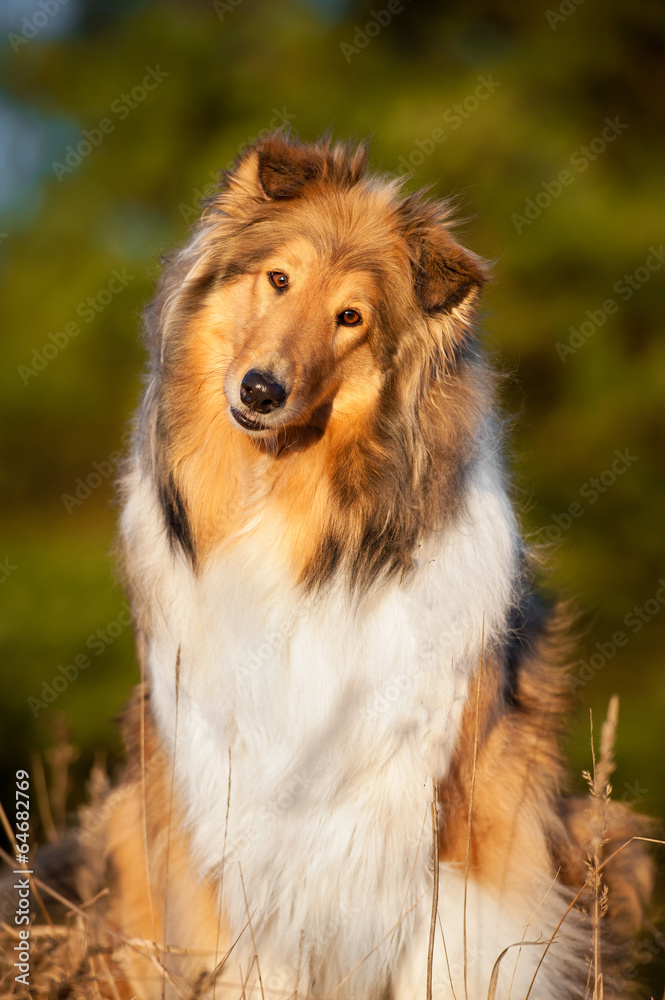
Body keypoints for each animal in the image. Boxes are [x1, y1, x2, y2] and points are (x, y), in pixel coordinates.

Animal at [91, 135, 652, 1000]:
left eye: (350, 318)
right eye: (277, 278)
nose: (261, 389)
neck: (292, 520)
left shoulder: (444, 813)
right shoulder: (223, 802)